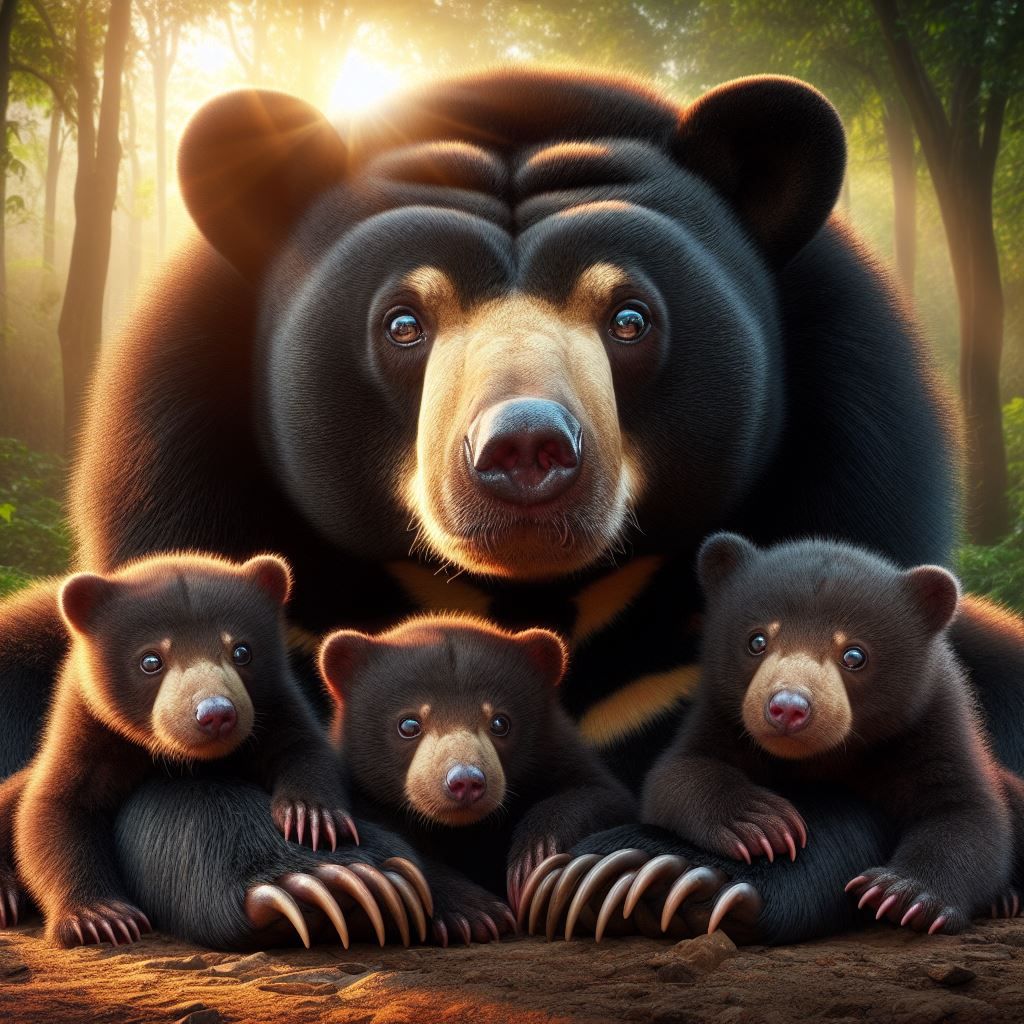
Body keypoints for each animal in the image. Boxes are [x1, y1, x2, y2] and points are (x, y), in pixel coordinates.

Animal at [0, 552, 360, 947]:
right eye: (150, 660)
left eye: (242, 651)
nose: (216, 713)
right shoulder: (91, 733)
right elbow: (54, 811)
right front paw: (102, 917)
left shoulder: (275, 706)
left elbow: (302, 747)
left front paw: (310, 818)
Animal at [317, 614, 636, 944]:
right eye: (408, 724)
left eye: (500, 723)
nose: (466, 781)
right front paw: (476, 914)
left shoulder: (558, 754)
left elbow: (602, 795)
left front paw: (533, 859)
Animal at [638, 534, 1024, 936]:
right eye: (757, 641)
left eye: (854, 655)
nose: (788, 708)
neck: (825, 756)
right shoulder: (721, 718)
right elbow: (677, 775)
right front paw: (763, 823)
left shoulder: (931, 723)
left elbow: (966, 813)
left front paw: (901, 893)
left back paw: (1004, 899)